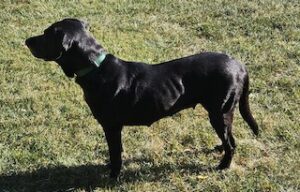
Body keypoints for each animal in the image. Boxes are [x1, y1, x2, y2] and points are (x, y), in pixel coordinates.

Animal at [25, 18, 258, 178]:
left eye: (46, 34)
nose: (26, 41)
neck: (96, 67)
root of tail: (239, 65)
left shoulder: (111, 126)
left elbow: (115, 153)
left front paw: (113, 177)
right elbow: (117, 151)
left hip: (220, 111)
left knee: (231, 143)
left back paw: (223, 166)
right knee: (229, 139)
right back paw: (219, 150)